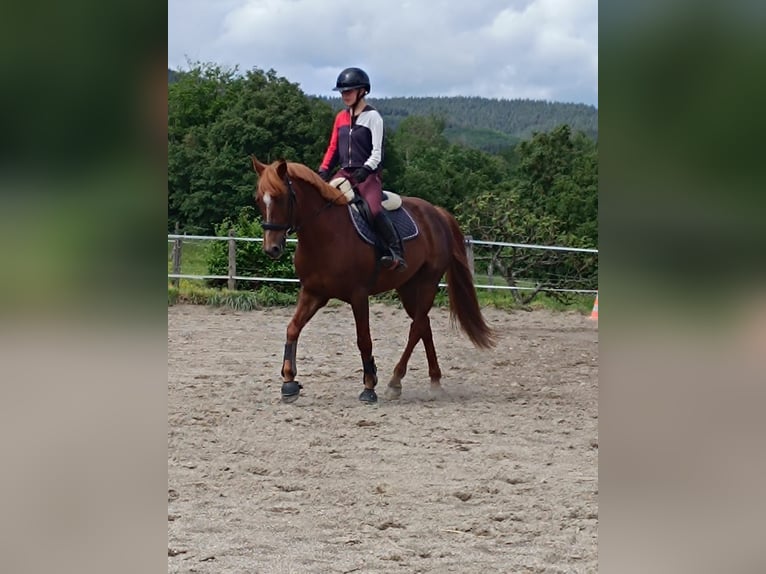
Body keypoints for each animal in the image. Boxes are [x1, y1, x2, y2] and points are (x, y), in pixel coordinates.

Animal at [249, 155, 496, 402]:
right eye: (259, 199)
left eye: (281, 197)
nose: (271, 248)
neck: (325, 234)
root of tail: (436, 212)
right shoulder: (313, 292)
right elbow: (292, 328)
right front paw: (289, 382)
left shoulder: (358, 295)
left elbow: (364, 339)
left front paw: (369, 386)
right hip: (408, 286)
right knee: (423, 324)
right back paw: (434, 381)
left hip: (428, 282)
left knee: (416, 327)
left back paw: (395, 380)